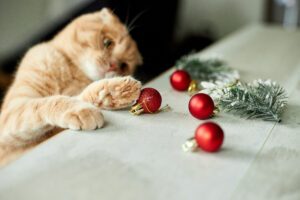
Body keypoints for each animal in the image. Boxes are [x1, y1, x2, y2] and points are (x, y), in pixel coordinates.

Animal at [0, 7, 143, 165]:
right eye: (107, 42)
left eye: (123, 65)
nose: (112, 66)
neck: (73, 74)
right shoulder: (11, 112)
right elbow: (51, 101)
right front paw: (82, 110)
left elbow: (79, 95)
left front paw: (113, 94)